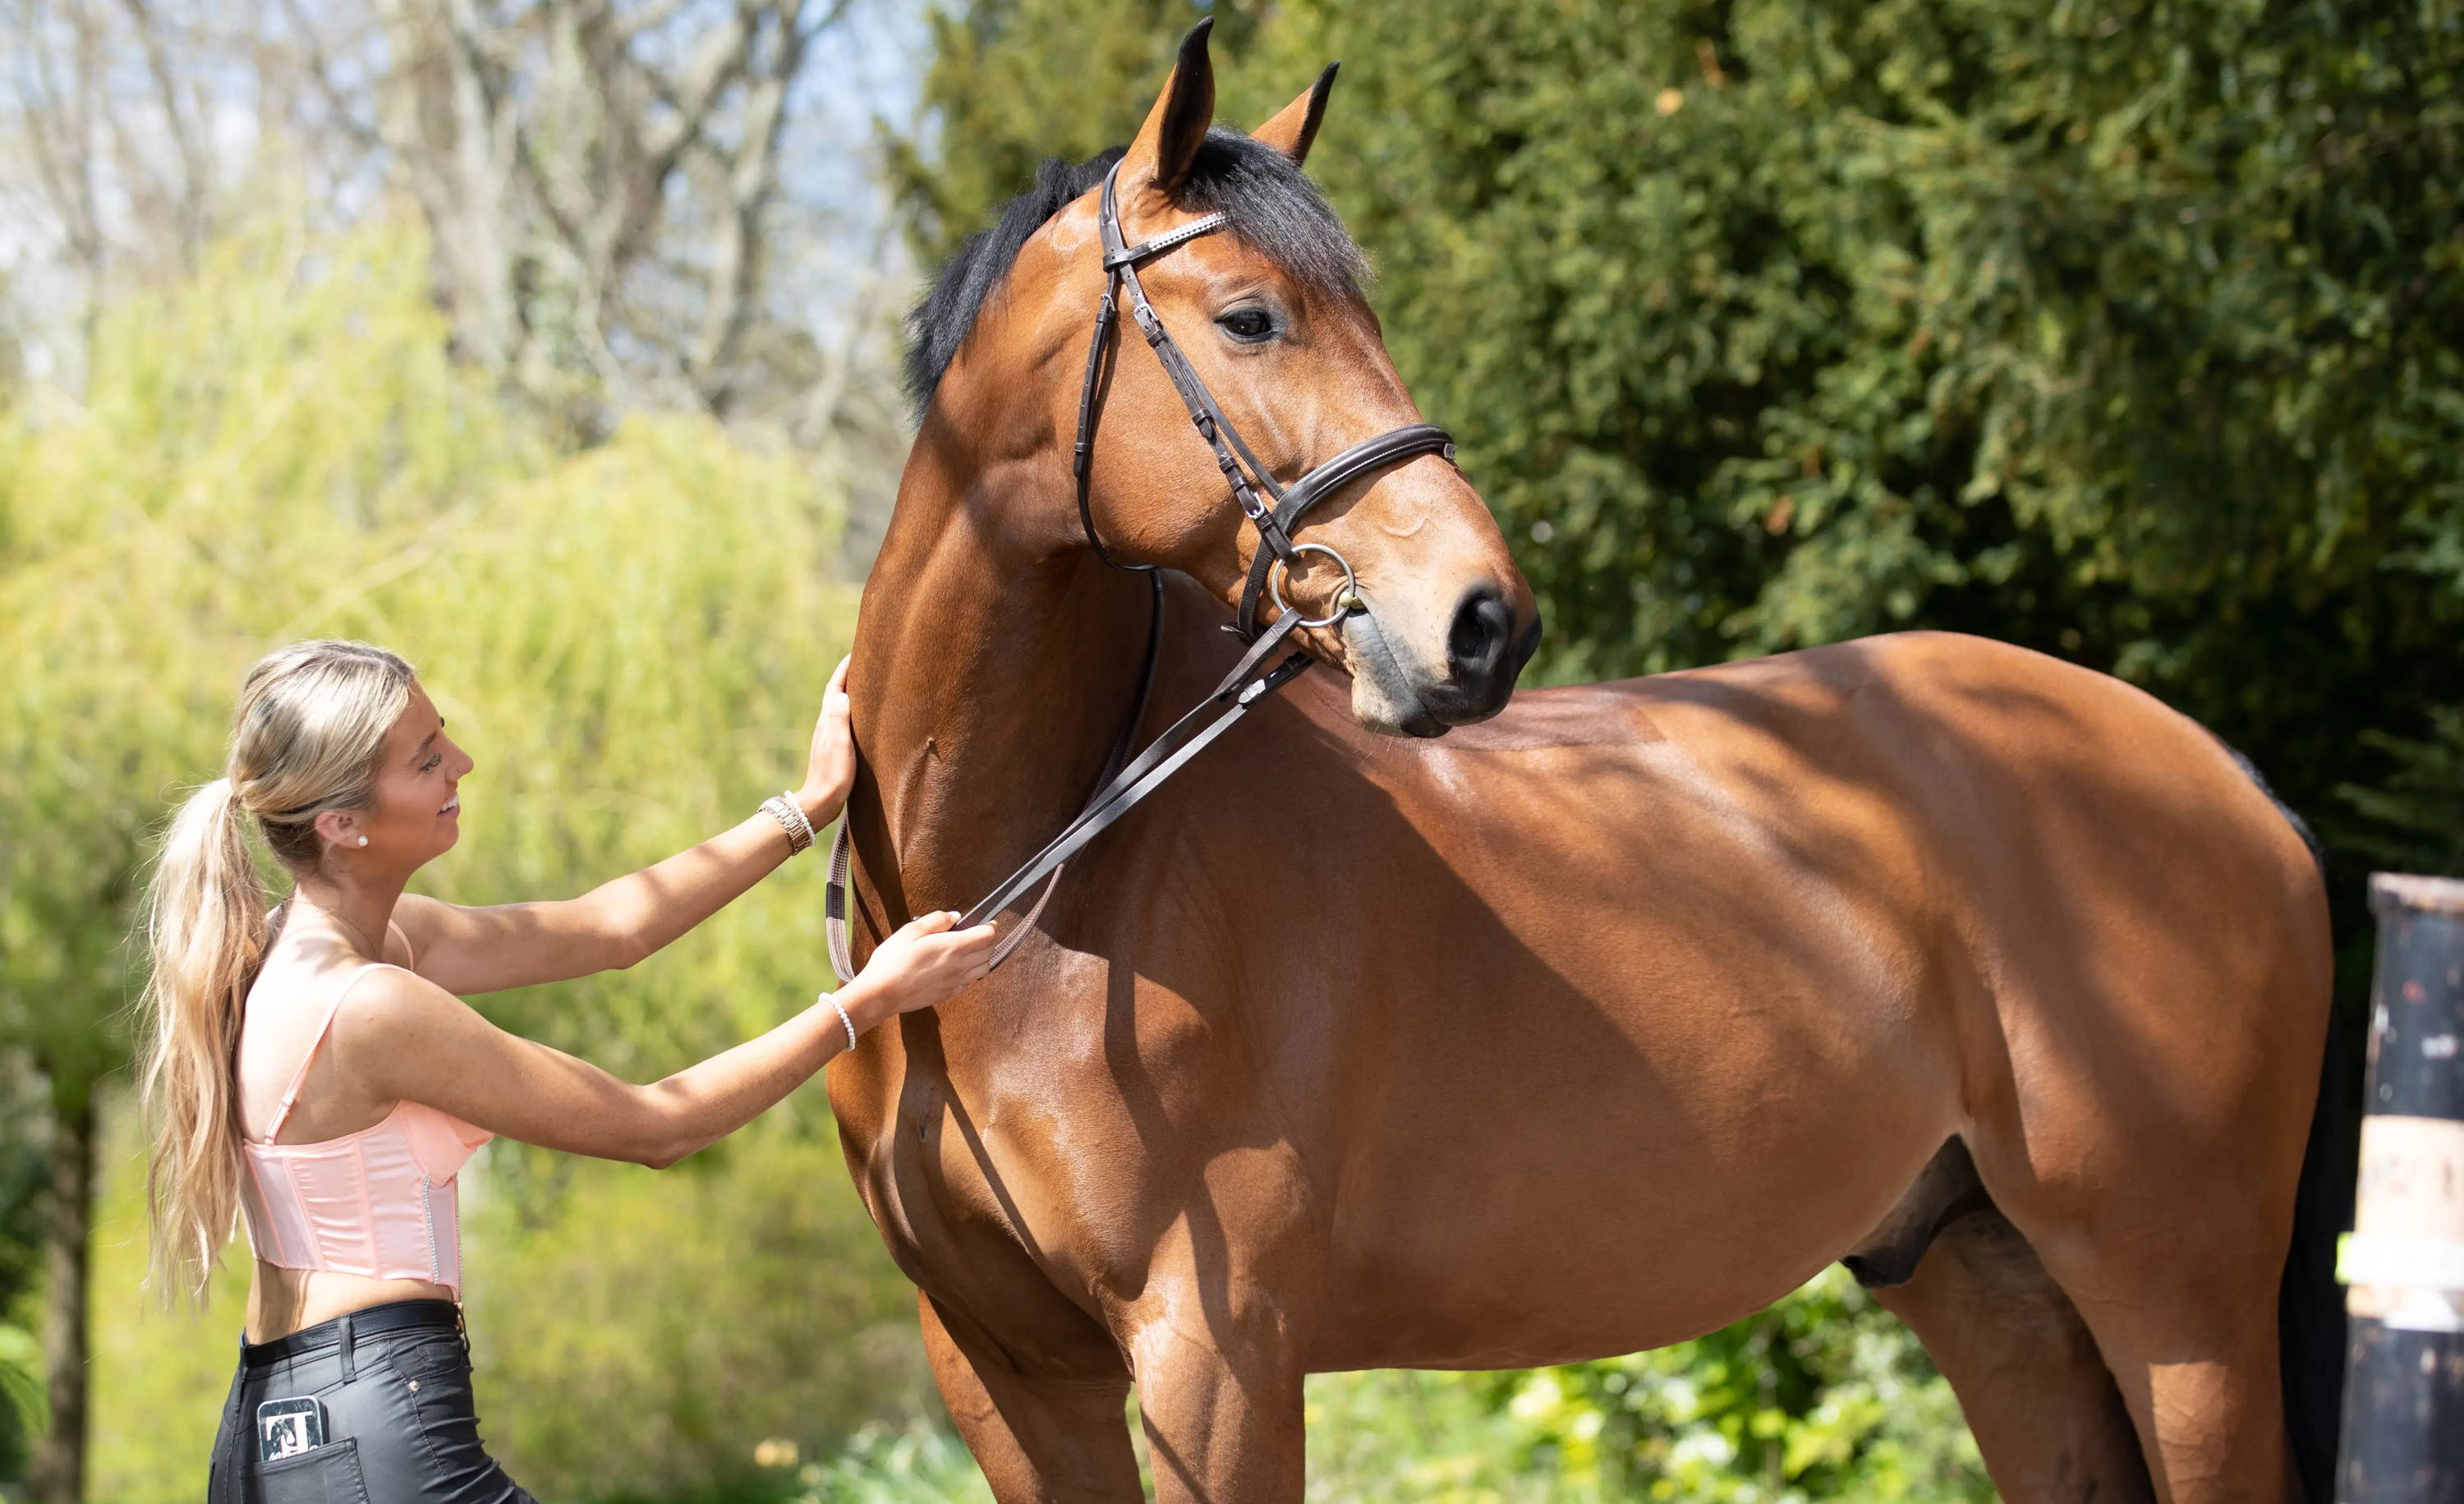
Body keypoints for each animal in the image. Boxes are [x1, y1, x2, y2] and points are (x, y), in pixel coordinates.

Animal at [825, 23, 2341, 1503]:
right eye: (1251, 316)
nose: (1485, 622)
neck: (1032, 917)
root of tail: (2219, 772)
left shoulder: (1220, 1357)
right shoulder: (1010, 1377)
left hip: (2182, 1313)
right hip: (1992, 1281)